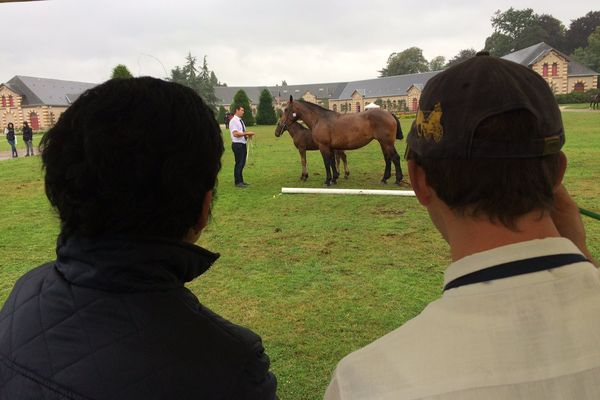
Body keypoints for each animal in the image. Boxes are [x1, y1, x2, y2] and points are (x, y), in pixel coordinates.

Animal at [276, 97, 406, 186]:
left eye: (286, 109)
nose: (280, 125)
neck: (319, 119)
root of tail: (389, 113)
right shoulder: (331, 147)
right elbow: (333, 162)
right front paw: (334, 178)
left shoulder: (323, 147)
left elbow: (327, 163)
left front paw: (328, 180)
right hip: (383, 143)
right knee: (388, 158)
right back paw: (384, 179)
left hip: (387, 143)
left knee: (395, 158)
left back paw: (398, 179)